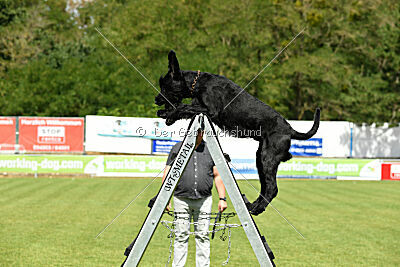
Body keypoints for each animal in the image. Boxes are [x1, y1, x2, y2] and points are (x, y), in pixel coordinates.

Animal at [155, 51, 320, 217]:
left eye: (165, 86)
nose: (156, 100)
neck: (199, 84)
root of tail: (290, 130)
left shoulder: (211, 110)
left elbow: (183, 107)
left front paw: (168, 113)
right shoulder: (198, 106)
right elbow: (186, 109)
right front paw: (167, 114)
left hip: (268, 158)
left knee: (272, 188)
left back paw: (256, 209)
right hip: (260, 159)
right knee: (265, 187)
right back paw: (253, 206)